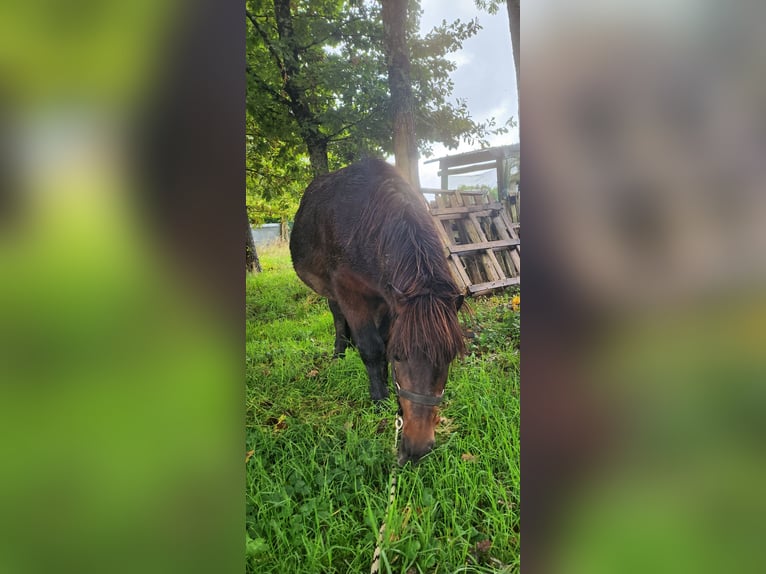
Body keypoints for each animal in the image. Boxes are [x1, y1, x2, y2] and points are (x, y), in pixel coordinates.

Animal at [290, 159, 464, 468]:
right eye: (400, 357)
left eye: (450, 357)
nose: (417, 448)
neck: (364, 223)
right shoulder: (350, 292)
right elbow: (371, 349)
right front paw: (380, 399)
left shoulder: (388, 300)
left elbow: (381, 343)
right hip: (331, 292)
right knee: (338, 318)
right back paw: (339, 354)